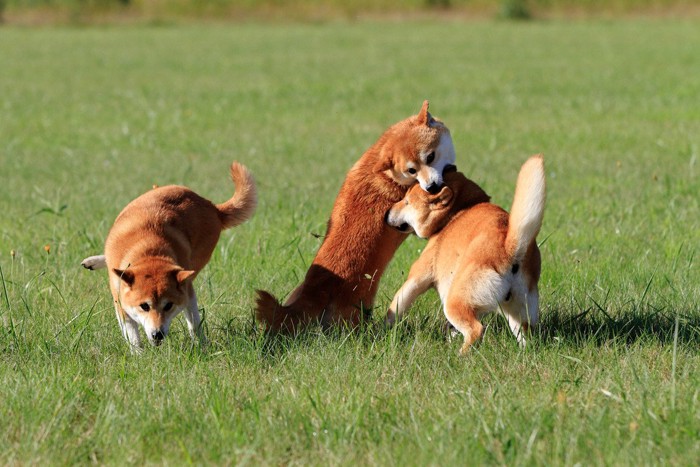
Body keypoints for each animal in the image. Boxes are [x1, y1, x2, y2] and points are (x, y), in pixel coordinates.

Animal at [82, 163, 258, 352]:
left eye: (168, 305)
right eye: (144, 306)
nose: (157, 334)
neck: (149, 253)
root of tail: (212, 207)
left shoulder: (187, 288)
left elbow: (194, 321)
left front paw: (201, 346)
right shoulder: (120, 299)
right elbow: (132, 332)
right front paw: (138, 353)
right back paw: (95, 261)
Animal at [254, 101, 456, 332]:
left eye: (430, 157)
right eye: (412, 170)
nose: (431, 187)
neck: (389, 173)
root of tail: (315, 288)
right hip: (356, 310)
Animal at [386, 155, 544, 352]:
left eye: (406, 202)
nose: (386, 213)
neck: (457, 211)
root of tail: (509, 247)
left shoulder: (418, 276)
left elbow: (397, 304)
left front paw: (386, 328)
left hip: (456, 301)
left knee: (476, 330)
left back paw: (460, 355)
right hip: (518, 310)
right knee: (525, 335)